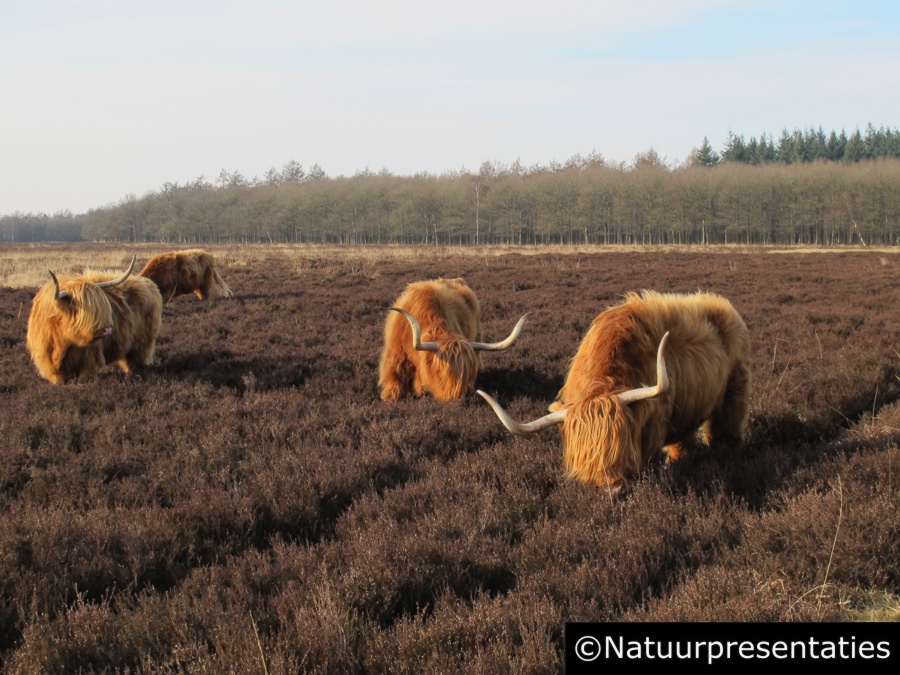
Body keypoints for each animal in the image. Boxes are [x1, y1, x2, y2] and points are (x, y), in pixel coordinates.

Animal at [25, 258, 163, 386]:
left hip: (143, 343)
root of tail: (149, 284)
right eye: (85, 311)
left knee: (137, 361)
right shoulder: (49, 365)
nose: (108, 329)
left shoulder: (87, 361)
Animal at [378, 278, 532, 402]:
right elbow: (394, 375)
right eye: (441, 372)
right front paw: (390, 397)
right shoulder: (395, 354)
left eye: (467, 372)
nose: (456, 399)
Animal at [478, 290, 752, 492]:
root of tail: (723, 305)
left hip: (735, 388)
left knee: (726, 425)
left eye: (620, 443)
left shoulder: (654, 422)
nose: (615, 489)